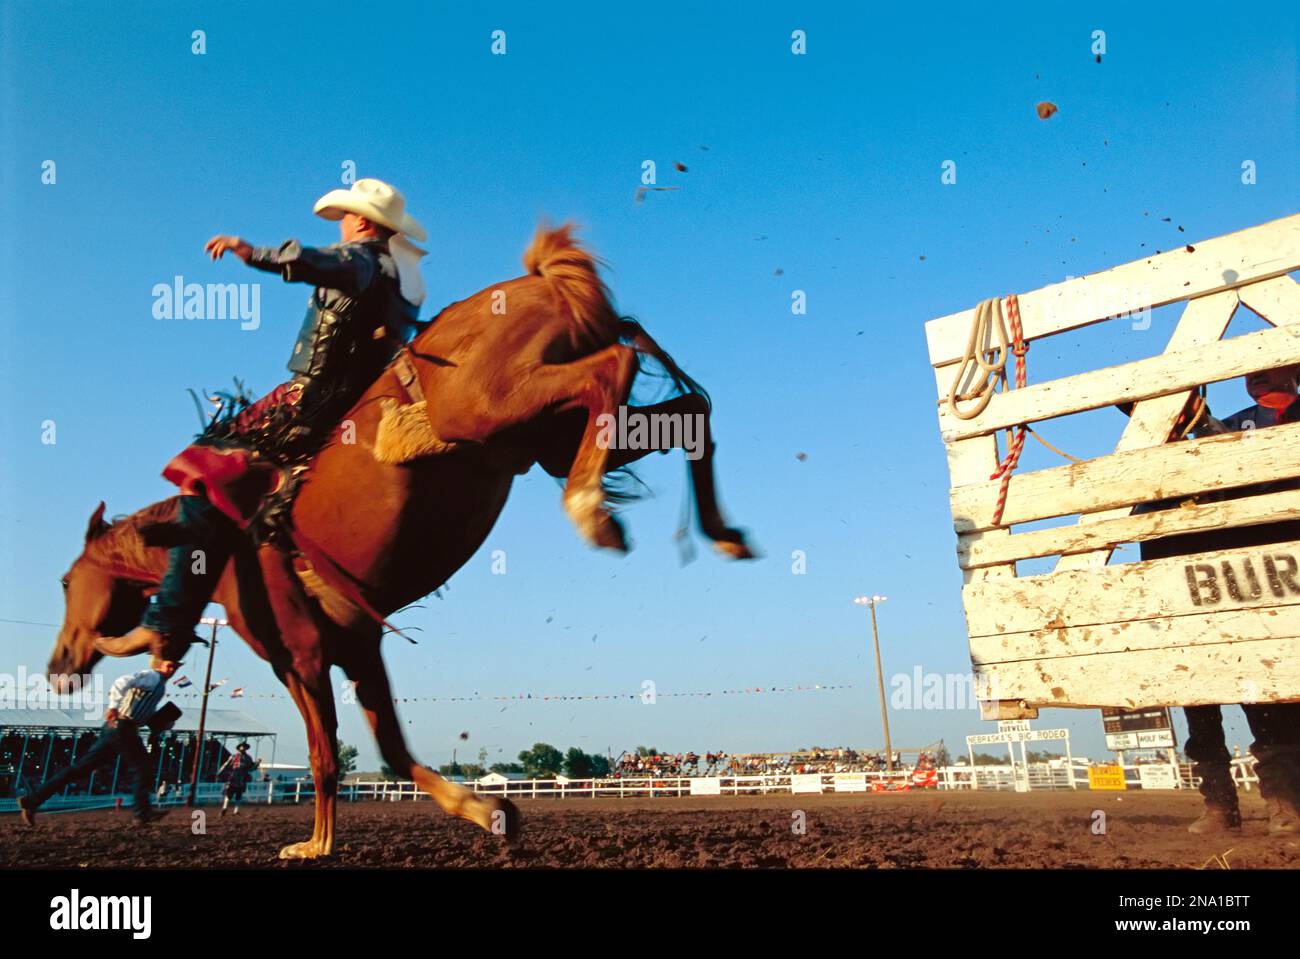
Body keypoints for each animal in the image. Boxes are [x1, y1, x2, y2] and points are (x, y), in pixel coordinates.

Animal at [43, 226, 754, 857]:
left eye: (65, 580)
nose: (57, 666)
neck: (229, 549)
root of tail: (540, 279)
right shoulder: (357, 642)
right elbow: (389, 748)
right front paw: (491, 812)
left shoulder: (300, 655)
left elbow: (324, 753)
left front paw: (317, 844)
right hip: (545, 436)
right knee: (689, 412)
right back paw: (721, 533)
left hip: (491, 407)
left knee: (618, 364)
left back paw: (591, 510)